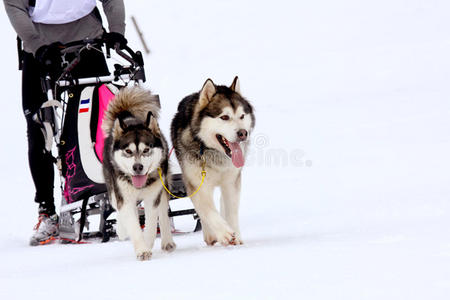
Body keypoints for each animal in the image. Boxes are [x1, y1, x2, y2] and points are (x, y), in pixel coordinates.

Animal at [103, 86, 176, 260]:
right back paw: (121, 230)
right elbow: (133, 224)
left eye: (146, 150)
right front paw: (142, 249)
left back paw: (167, 241)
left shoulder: (153, 198)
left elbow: (151, 224)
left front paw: (147, 245)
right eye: (128, 151)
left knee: (163, 212)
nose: (138, 167)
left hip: (163, 187)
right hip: (113, 189)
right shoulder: (124, 197)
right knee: (120, 209)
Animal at [170, 76, 253, 245]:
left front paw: (236, 237)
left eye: (242, 116)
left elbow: (231, 210)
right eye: (224, 117)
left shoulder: (232, 181)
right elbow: (207, 210)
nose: (243, 133)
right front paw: (224, 233)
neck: (214, 153)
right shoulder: (196, 183)